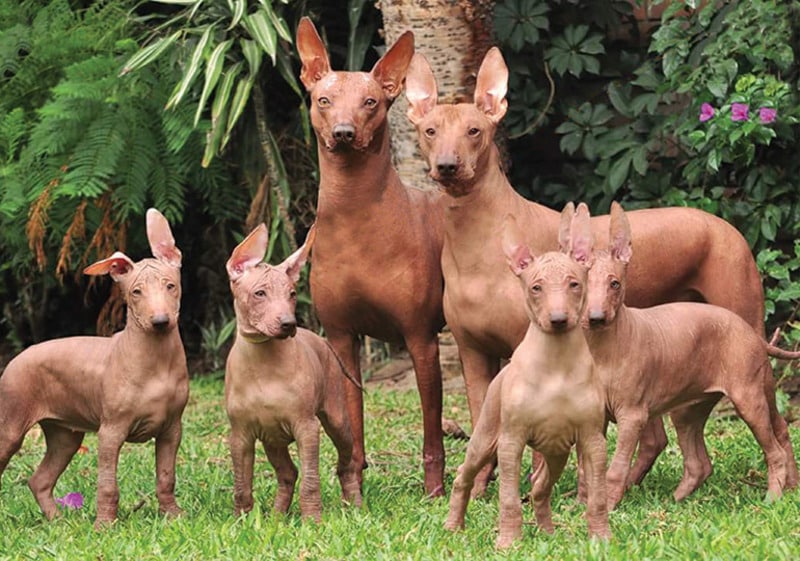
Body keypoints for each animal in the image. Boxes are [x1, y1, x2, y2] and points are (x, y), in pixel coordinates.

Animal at [0, 208, 189, 528]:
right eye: (136, 292)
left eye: (170, 286)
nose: (161, 321)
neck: (157, 359)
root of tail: (16, 358)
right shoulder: (110, 432)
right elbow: (108, 485)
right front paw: (104, 526)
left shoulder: (172, 429)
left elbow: (166, 477)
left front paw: (172, 515)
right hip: (11, 427)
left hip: (65, 436)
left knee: (40, 480)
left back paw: (58, 522)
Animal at [225, 223, 362, 520]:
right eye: (260, 294)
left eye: (292, 294)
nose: (289, 324)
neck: (263, 360)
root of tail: (322, 340)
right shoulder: (240, 434)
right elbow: (241, 485)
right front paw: (242, 520)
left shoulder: (307, 428)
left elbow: (311, 481)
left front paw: (313, 520)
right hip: (272, 438)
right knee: (288, 473)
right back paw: (278, 516)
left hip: (336, 420)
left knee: (347, 464)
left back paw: (356, 507)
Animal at [296, 19, 450, 496]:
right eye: (323, 100)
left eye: (371, 102)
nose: (344, 132)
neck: (354, 218)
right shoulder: (342, 340)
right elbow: (354, 424)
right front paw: (353, 489)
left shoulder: (421, 339)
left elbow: (432, 434)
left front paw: (435, 493)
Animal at [410, 48, 772, 492]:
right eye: (430, 131)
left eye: (474, 131)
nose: (447, 165)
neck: (478, 242)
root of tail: (725, 226)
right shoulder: (472, 353)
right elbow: (483, 423)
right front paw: (479, 491)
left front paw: (538, 486)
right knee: (655, 436)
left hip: (744, 335)